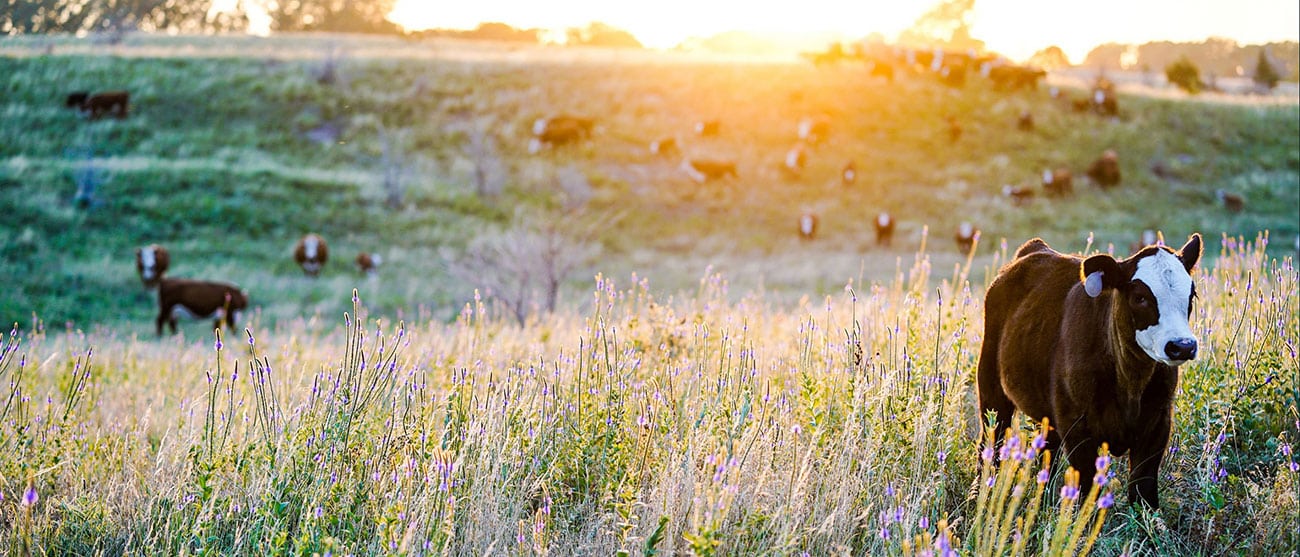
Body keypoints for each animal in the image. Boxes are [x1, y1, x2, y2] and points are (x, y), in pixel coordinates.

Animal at [977, 234, 1202, 510]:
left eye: (1191, 295)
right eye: (1140, 297)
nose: (1183, 346)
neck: (1130, 383)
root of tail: (1037, 248)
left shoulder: (1158, 425)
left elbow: (1143, 491)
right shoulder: (1078, 428)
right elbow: (1086, 490)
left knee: (1048, 453)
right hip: (991, 390)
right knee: (992, 442)